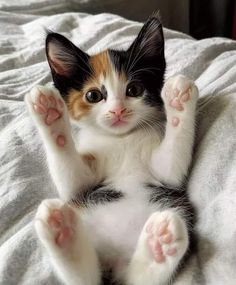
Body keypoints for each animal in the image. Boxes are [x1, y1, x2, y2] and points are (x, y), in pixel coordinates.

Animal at [25, 15, 198, 284]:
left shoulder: (166, 177)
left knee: (137, 279)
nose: (118, 110)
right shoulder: (81, 187)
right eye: (93, 95)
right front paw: (50, 114)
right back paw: (61, 230)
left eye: (134, 90)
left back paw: (160, 243)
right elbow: (73, 180)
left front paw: (179, 100)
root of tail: (114, 264)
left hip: (174, 206)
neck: (121, 139)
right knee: (86, 279)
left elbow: (171, 166)